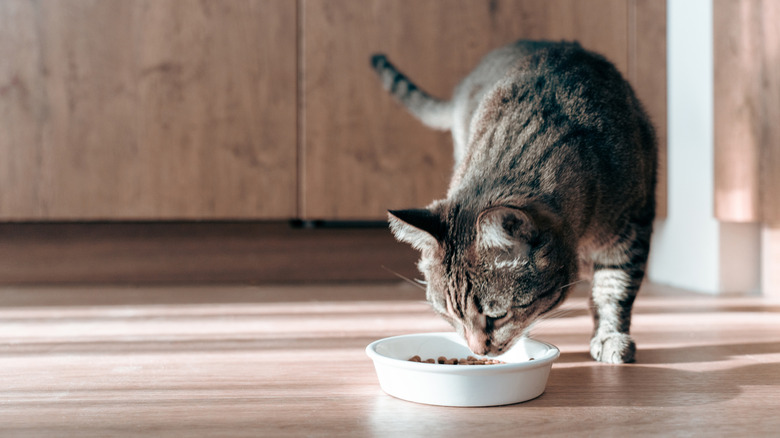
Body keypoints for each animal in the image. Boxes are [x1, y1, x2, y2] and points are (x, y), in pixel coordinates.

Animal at [372, 40, 660, 362]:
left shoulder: (631, 227)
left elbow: (614, 289)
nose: (477, 350)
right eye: (450, 315)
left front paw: (611, 337)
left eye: (497, 316)